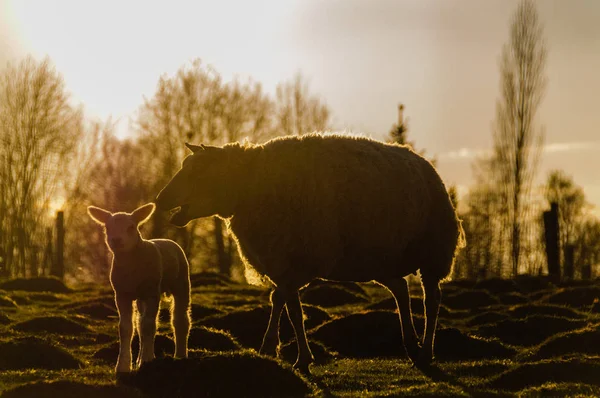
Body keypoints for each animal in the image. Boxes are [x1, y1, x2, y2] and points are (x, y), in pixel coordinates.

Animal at [85, 204, 190, 374]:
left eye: (131, 227)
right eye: (107, 227)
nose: (116, 240)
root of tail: (166, 240)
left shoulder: (152, 292)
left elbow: (149, 325)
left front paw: (146, 361)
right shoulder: (122, 295)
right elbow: (126, 328)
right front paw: (123, 365)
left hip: (181, 282)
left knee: (180, 319)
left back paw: (180, 355)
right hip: (141, 297)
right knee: (140, 322)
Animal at [154, 133, 464, 374]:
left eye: (199, 171)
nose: (160, 199)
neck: (251, 187)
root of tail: (424, 163)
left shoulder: (299, 260)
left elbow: (292, 308)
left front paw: (301, 358)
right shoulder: (280, 259)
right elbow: (280, 300)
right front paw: (270, 347)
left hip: (433, 252)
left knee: (432, 300)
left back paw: (425, 352)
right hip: (381, 258)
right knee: (400, 289)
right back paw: (411, 345)